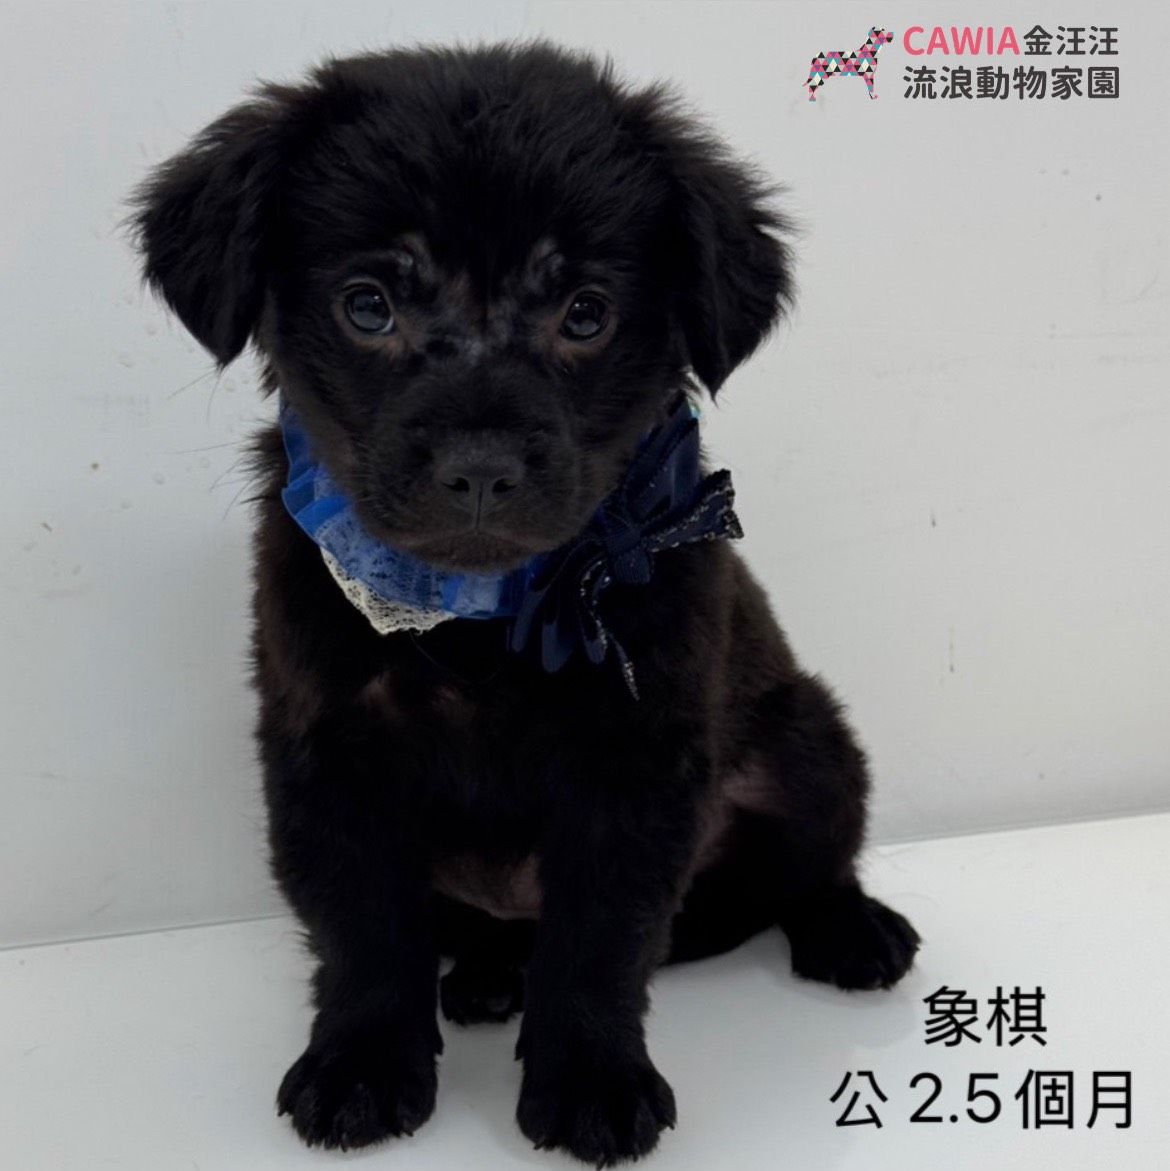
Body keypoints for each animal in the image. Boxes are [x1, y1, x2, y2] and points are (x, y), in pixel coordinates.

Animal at [133, 41, 920, 1165]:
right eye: (368, 305)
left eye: (584, 312)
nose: (480, 468)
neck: (479, 616)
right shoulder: (330, 752)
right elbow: (364, 933)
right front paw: (361, 1065)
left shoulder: (636, 764)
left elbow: (599, 944)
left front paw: (593, 1081)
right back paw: (485, 980)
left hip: (811, 745)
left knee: (811, 863)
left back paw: (853, 930)